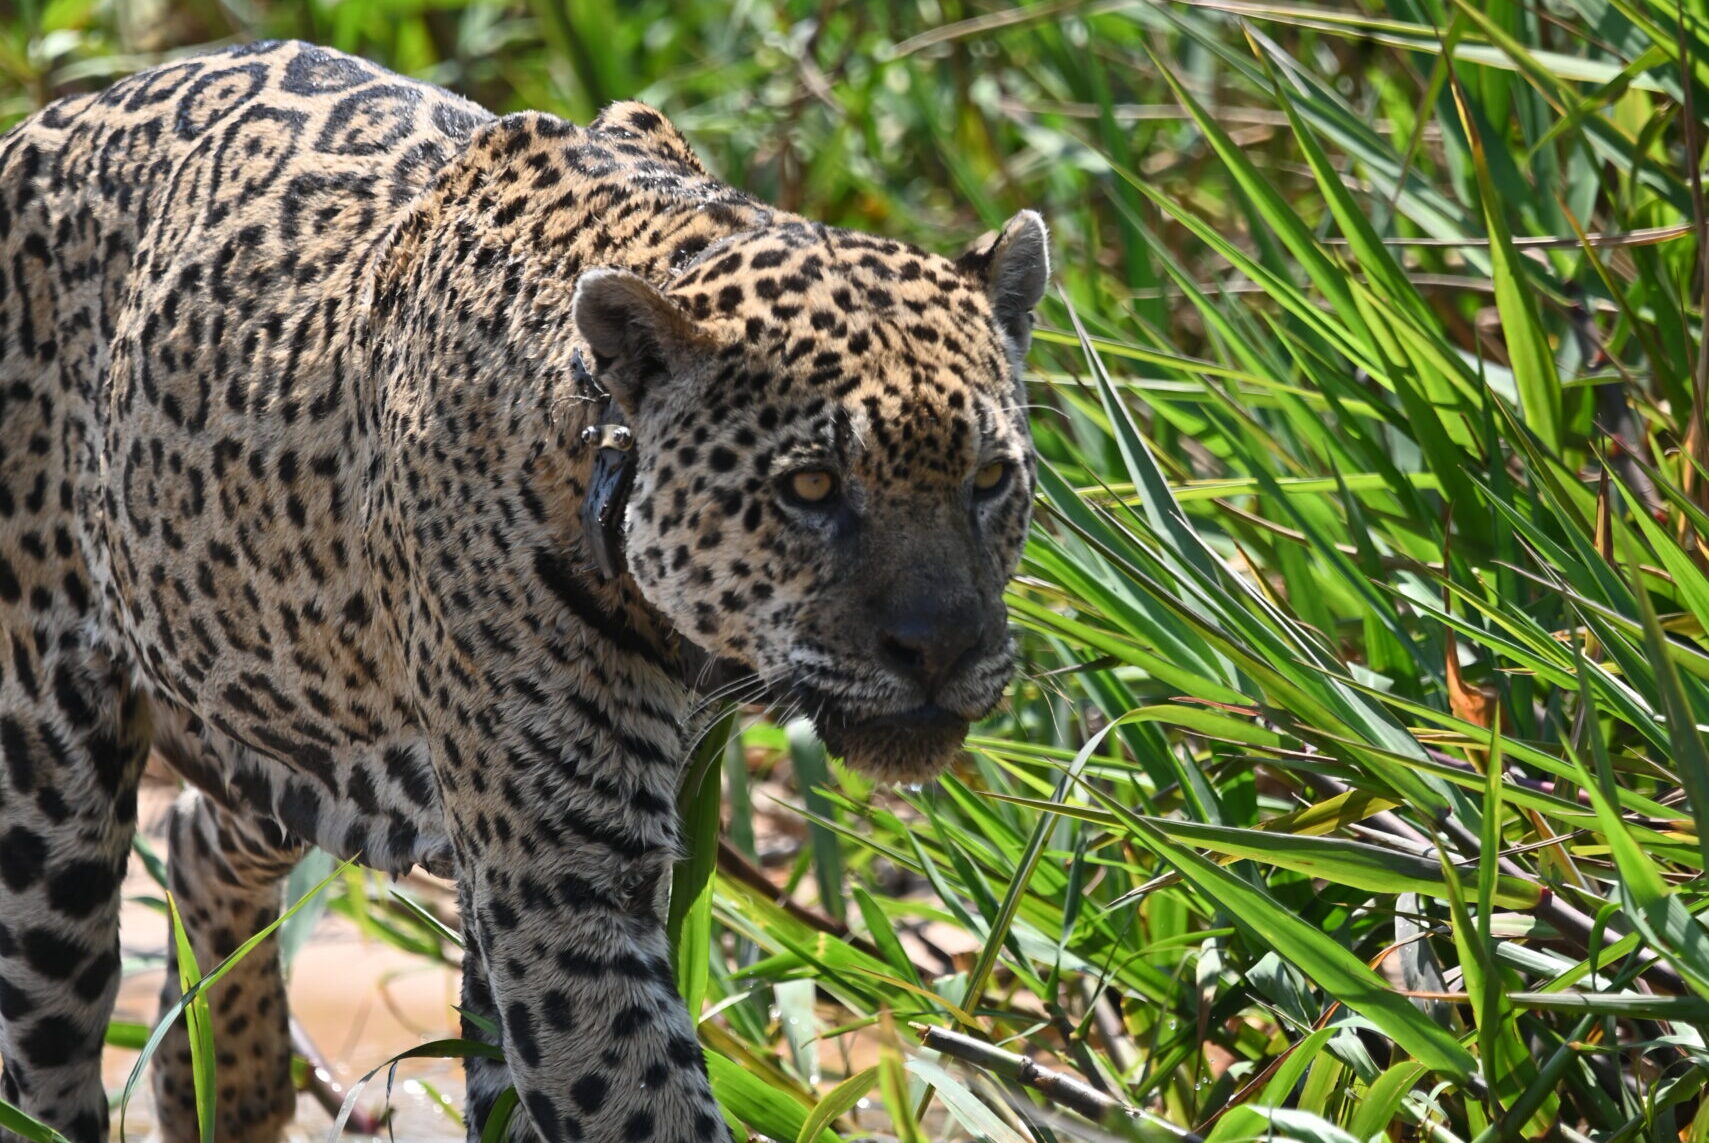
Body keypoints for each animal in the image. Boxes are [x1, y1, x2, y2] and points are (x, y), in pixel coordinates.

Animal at [0, 39, 1048, 1143]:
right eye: (809, 487)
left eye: (988, 479)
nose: (940, 645)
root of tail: (51, 117)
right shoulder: (559, 892)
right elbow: (638, 1102)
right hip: (51, 773)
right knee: (49, 1034)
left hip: (285, 700)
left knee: (200, 839)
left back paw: (227, 1086)